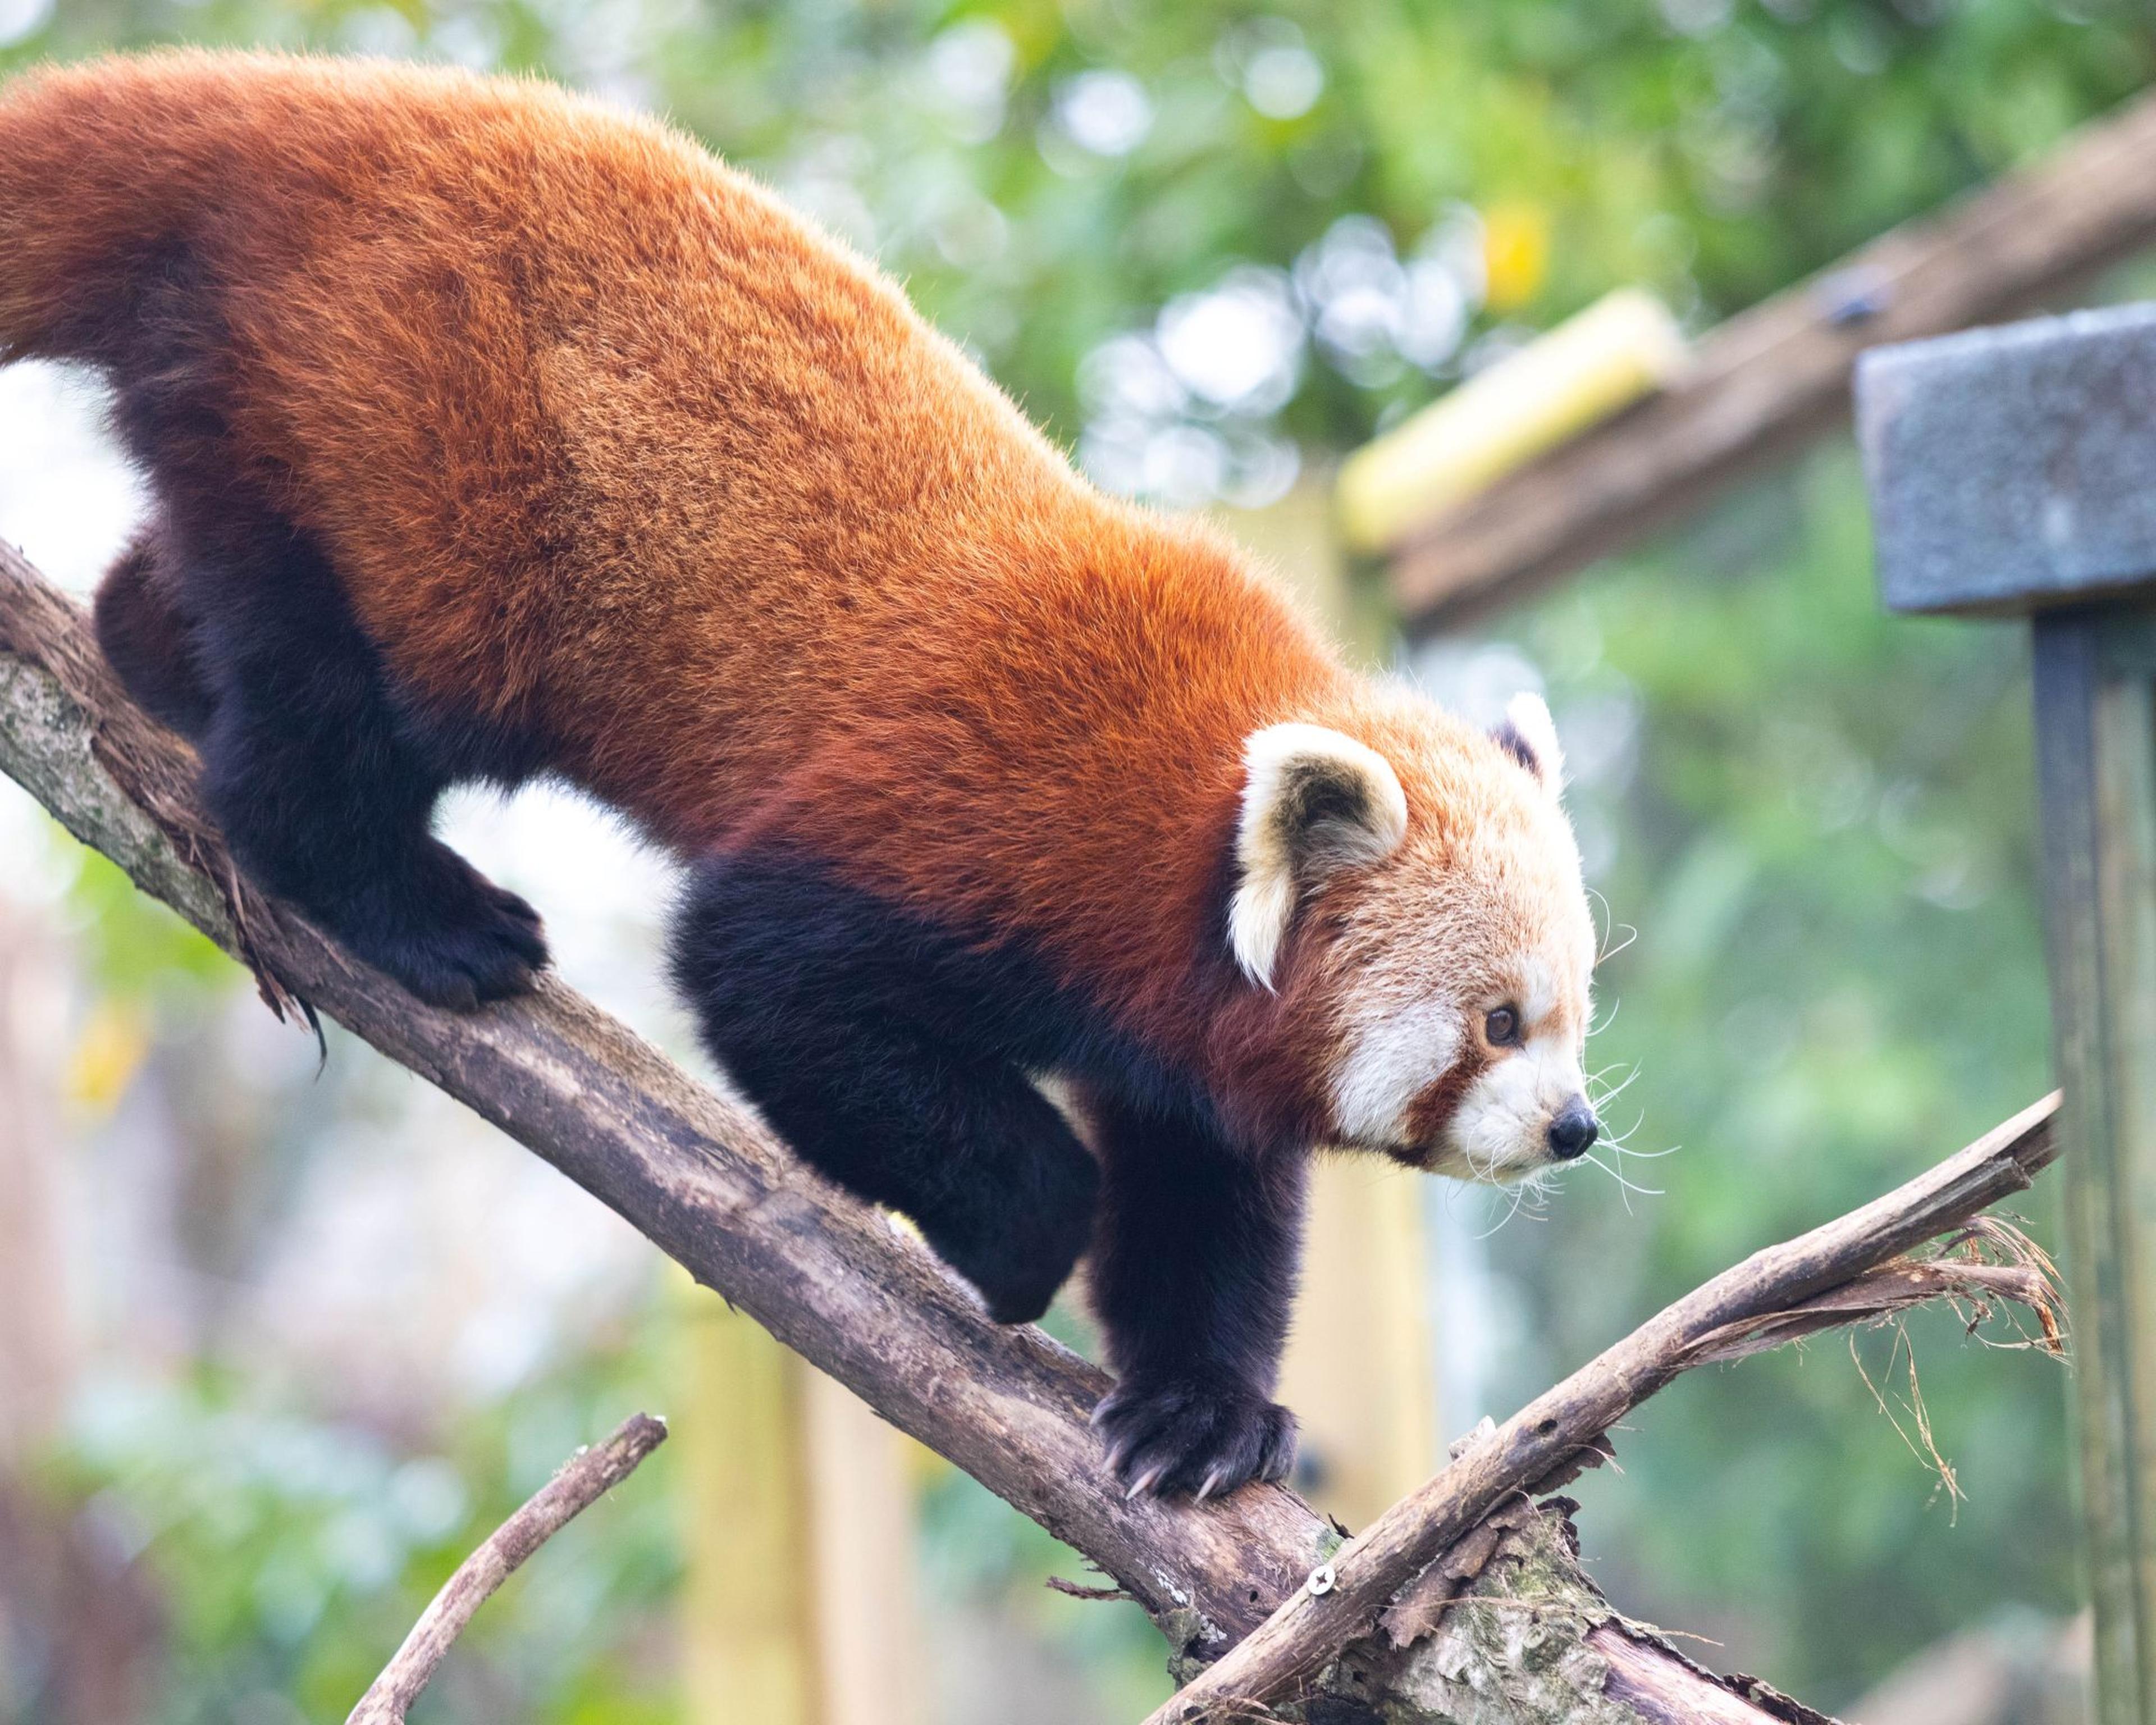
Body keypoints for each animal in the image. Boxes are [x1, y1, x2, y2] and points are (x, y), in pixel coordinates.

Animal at [0, 51, 1604, 1500]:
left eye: (1575, 1015)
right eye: (1497, 1021)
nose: (1575, 1127)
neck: (1179, 796)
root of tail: (316, 107)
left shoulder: (1186, 1026)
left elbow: (1203, 1203)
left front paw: (1201, 1411)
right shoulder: (967, 818)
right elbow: (765, 976)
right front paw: (1027, 1236)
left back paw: (153, 652)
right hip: (411, 457)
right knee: (335, 712)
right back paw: (413, 905)